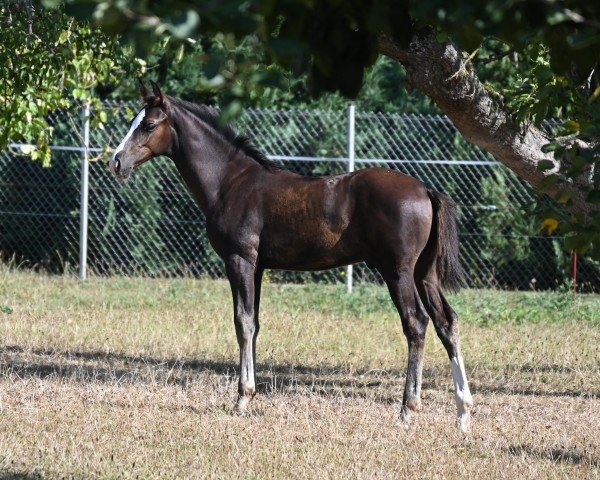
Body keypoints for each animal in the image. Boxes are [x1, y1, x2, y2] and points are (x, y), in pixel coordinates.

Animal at [108, 81, 474, 432]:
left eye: (148, 125)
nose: (116, 162)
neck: (230, 181)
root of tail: (425, 189)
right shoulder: (257, 267)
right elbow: (254, 323)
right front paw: (250, 394)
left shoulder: (239, 260)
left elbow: (242, 321)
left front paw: (242, 399)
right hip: (424, 273)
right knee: (447, 322)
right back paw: (463, 412)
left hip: (397, 271)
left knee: (416, 323)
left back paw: (407, 410)